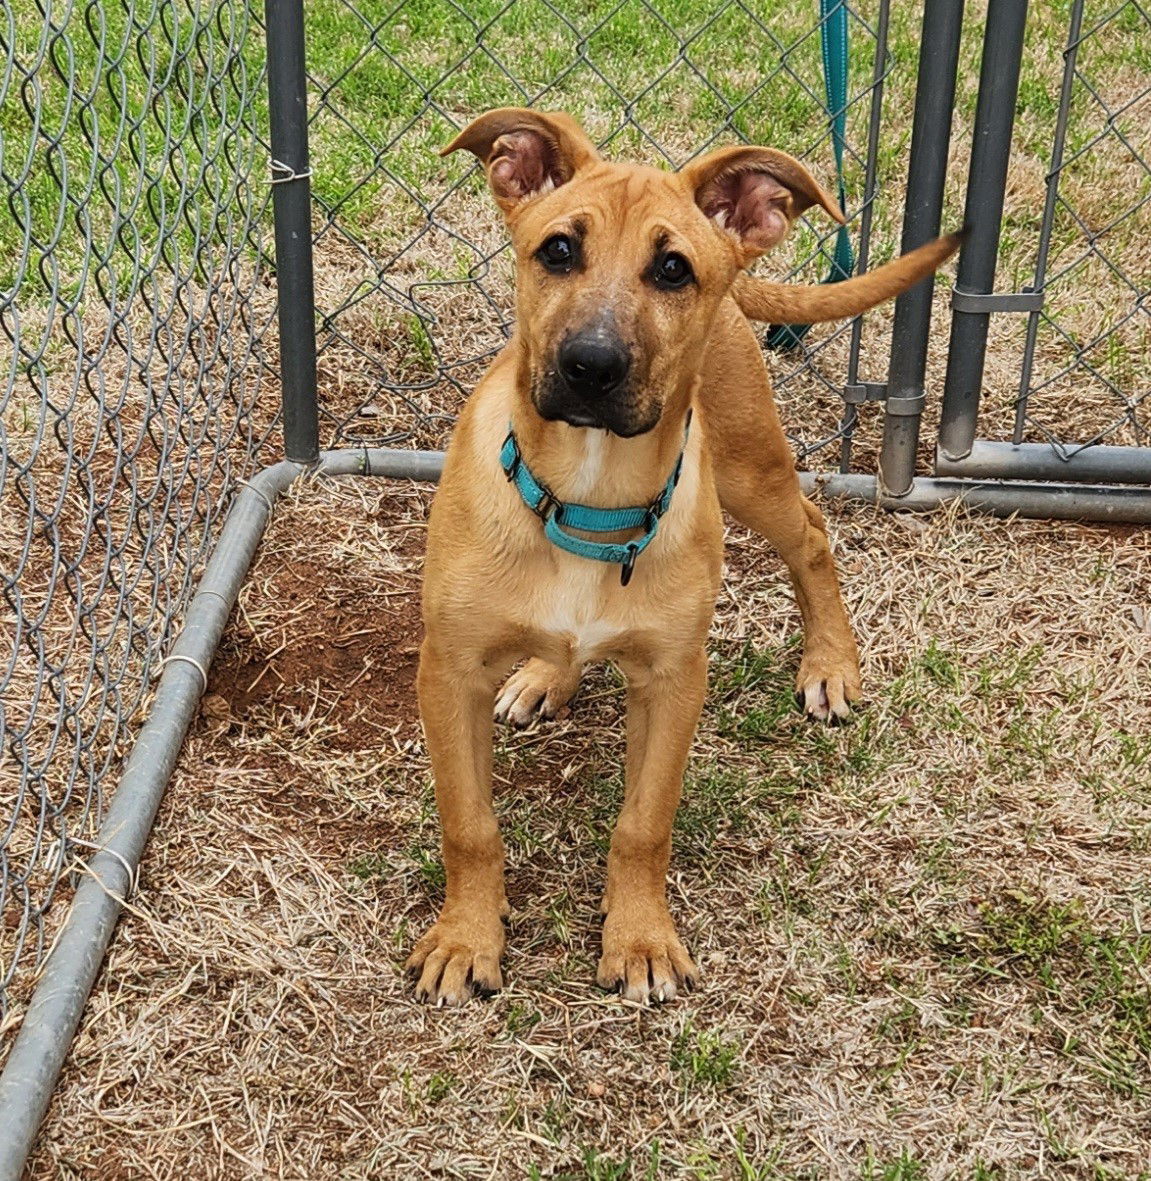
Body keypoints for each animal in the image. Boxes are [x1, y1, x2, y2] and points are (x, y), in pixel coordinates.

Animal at [408, 106, 963, 1001]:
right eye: (556, 249)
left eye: (672, 269)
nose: (589, 366)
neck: (589, 499)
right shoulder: (447, 670)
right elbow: (469, 822)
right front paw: (466, 937)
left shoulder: (675, 679)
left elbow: (643, 822)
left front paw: (638, 937)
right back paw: (543, 677)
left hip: (750, 471)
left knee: (811, 532)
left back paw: (829, 662)